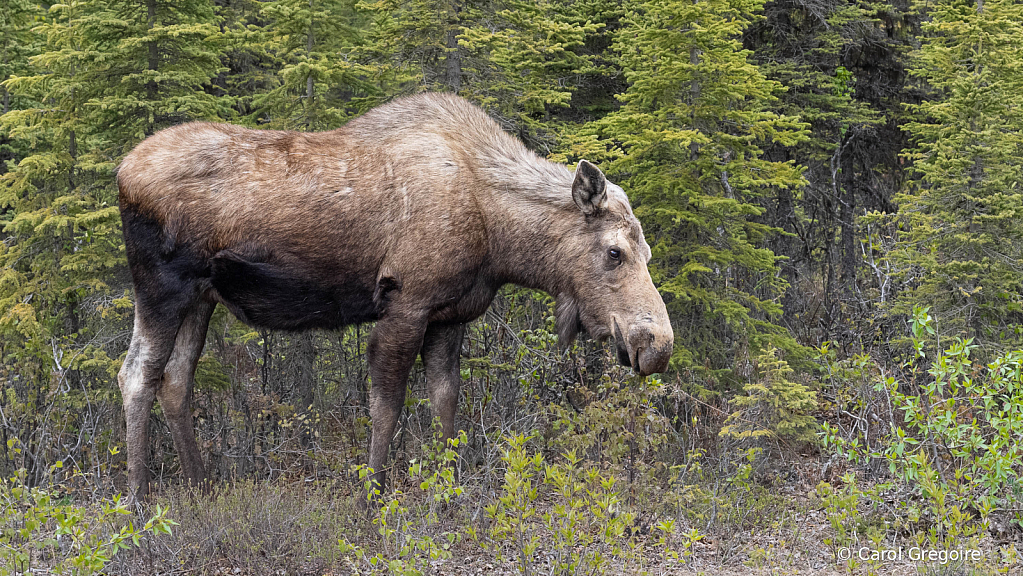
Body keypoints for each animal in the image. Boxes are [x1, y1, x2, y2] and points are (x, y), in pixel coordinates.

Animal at [116, 93, 675, 501]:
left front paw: (450, 489)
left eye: (647, 251)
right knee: (136, 373)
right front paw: (372, 494)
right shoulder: (406, 304)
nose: (656, 344)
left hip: (202, 297)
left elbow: (446, 404)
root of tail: (121, 172)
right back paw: (139, 497)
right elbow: (387, 407)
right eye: (615, 252)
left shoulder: (450, 315)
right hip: (161, 287)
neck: (498, 235)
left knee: (176, 380)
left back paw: (200, 486)